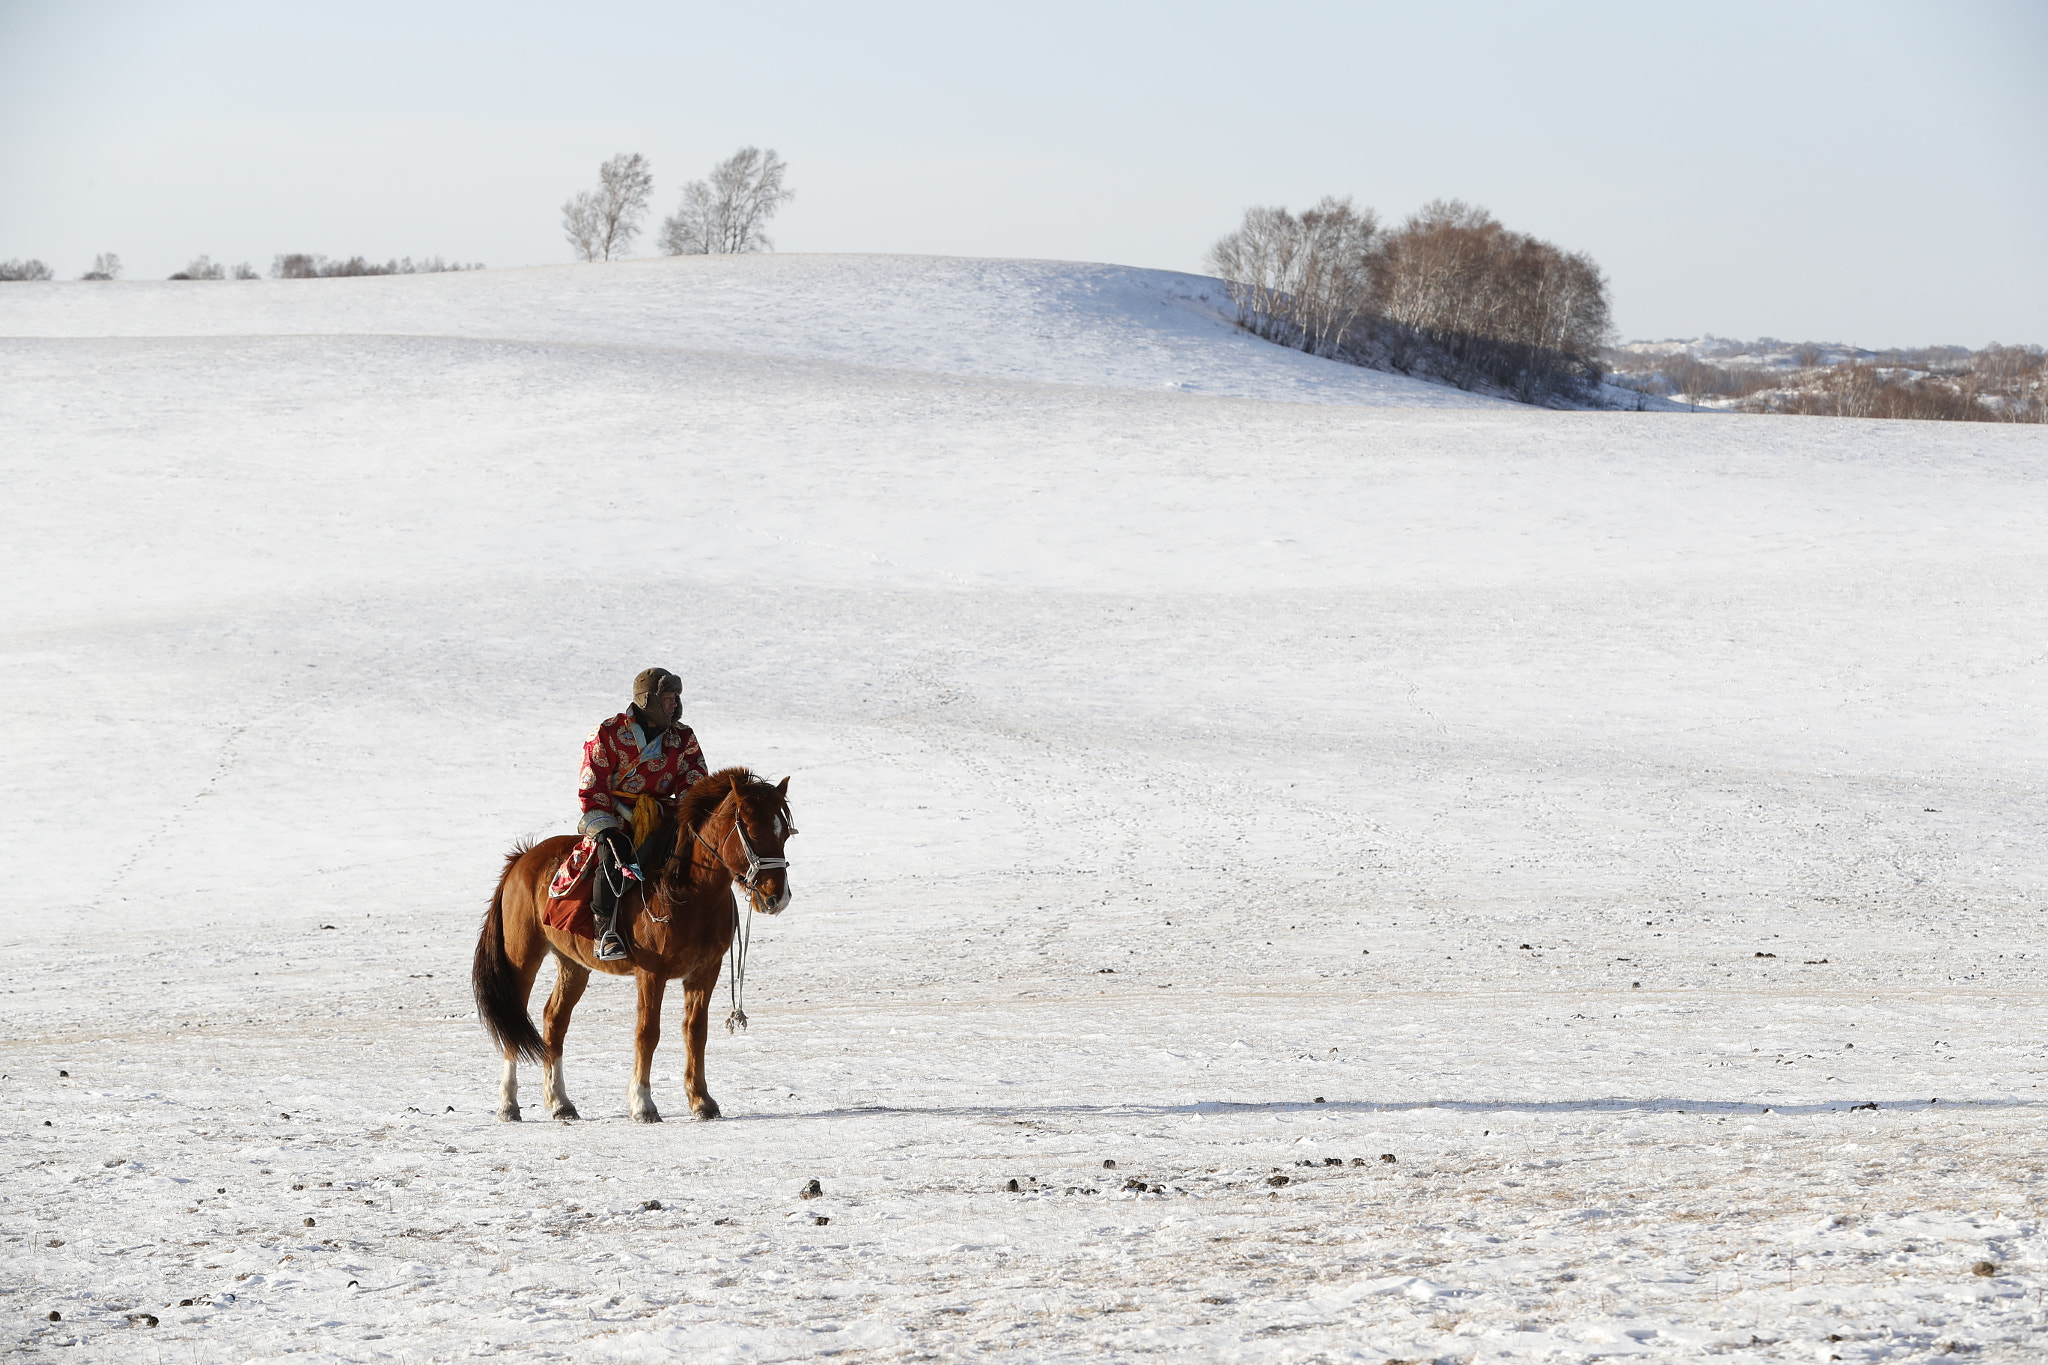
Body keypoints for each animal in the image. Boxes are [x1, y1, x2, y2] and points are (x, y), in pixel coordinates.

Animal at [471, 767, 796, 1123]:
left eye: (784, 833)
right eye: (749, 830)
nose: (776, 898)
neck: (689, 893)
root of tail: (521, 860)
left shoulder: (705, 971)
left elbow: (696, 1032)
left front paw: (701, 1101)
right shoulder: (651, 973)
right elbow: (647, 1033)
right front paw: (643, 1103)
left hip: (572, 964)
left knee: (554, 1020)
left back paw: (560, 1102)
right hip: (522, 955)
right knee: (513, 1023)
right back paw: (508, 1104)